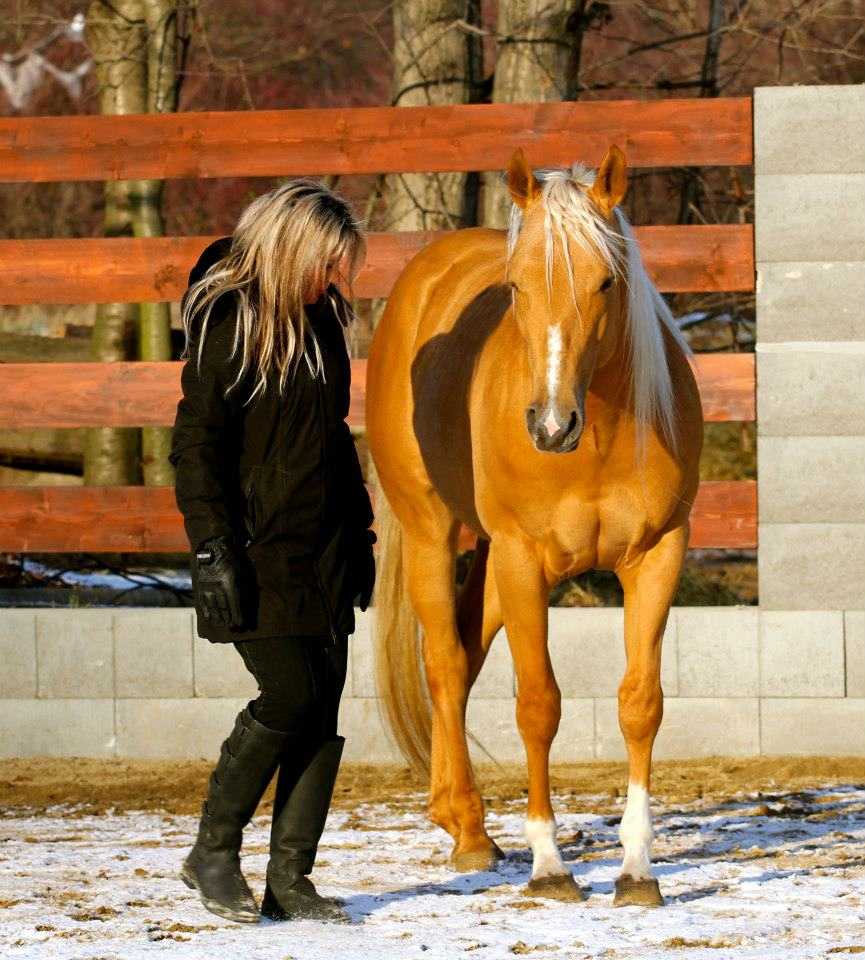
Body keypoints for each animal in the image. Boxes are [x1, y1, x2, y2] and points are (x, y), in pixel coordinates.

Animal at [364, 145, 703, 907]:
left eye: (605, 281)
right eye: (516, 288)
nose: (550, 426)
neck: (600, 438)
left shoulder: (657, 557)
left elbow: (640, 703)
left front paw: (637, 870)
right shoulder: (525, 561)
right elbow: (538, 706)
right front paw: (550, 867)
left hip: (491, 559)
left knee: (462, 656)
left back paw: (453, 814)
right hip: (434, 535)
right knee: (443, 661)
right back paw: (469, 832)